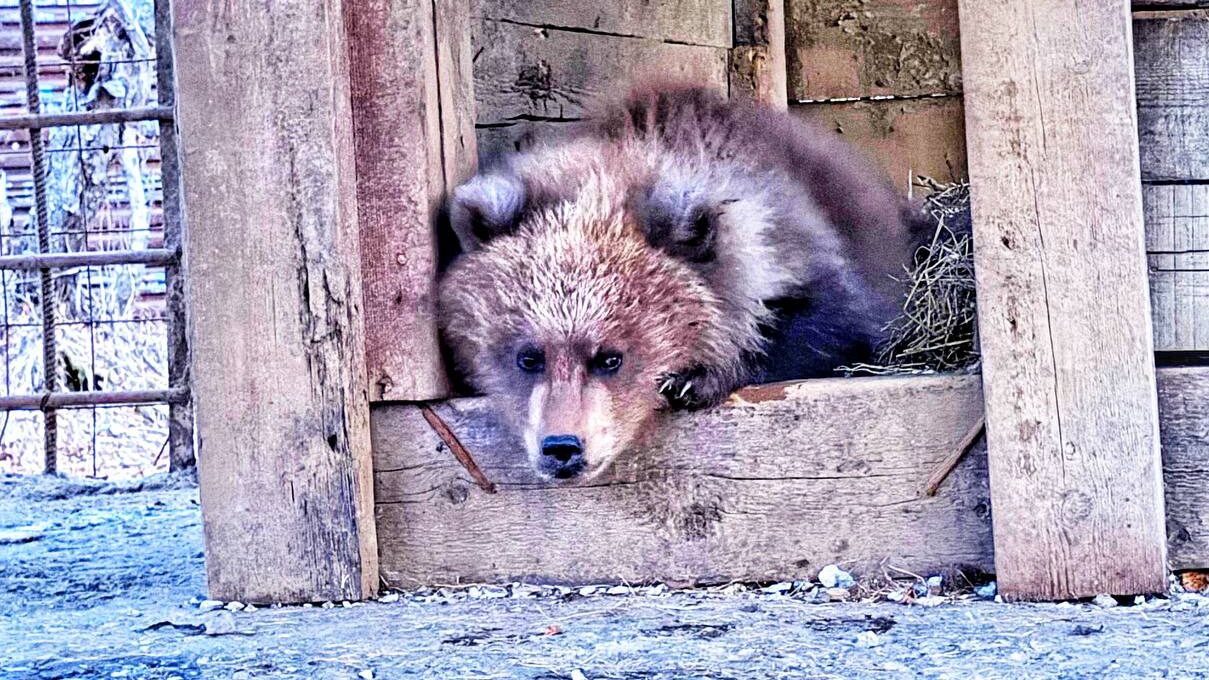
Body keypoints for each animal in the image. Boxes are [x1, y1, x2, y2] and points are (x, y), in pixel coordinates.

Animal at [440, 82, 918, 479]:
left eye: (611, 357)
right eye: (528, 356)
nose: (562, 448)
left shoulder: (818, 265)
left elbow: (832, 327)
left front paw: (694, 379)